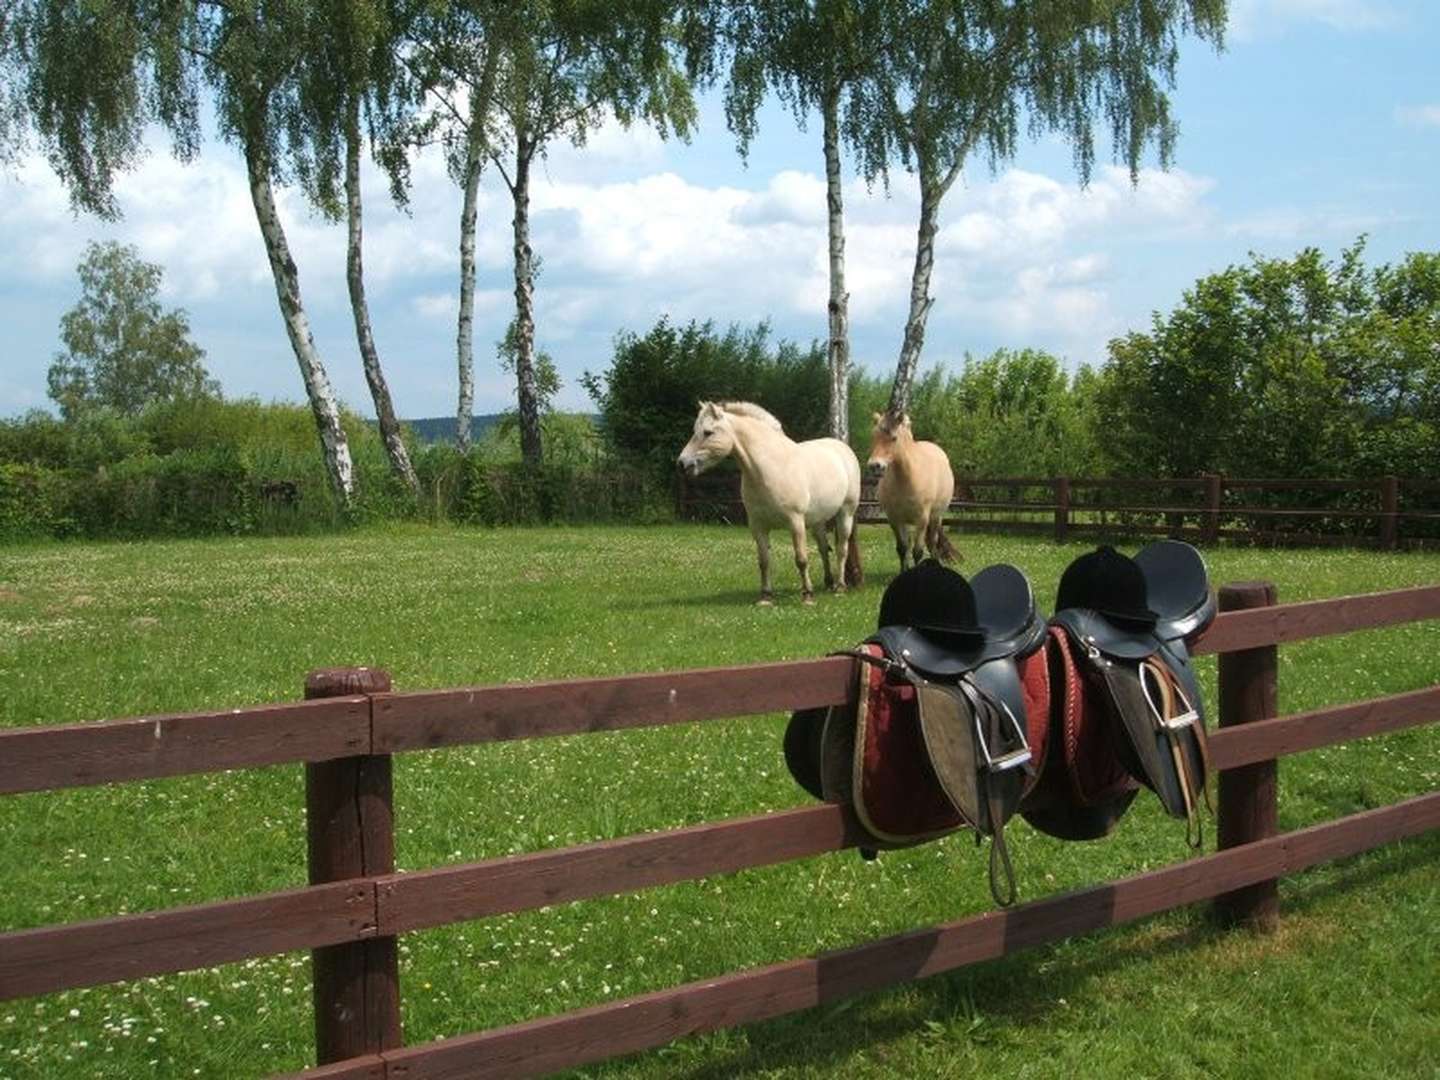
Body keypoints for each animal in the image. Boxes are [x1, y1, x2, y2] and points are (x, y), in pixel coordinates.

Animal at [676, 403, 858, 604]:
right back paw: (828, 582)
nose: (682, 464)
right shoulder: (758, 525)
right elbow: (763, 561)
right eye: (695, 431)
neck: (770, 468)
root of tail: (842, 447)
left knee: (842, 549)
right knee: (823, 549)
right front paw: (765, 597)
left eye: (708, 432)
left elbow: (801, 559)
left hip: (846, 513)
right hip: (817, 521)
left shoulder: (795, 522)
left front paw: (807, 595)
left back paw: (840, 586)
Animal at [864, 408, 956, 570]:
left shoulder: (922, 520)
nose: (875, 466)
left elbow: (917, 552)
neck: (907, 479)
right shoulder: (894, 519)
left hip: (936, 517)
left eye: (893, 438)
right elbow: (902, 548)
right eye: (874, 436)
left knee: (933, 543)